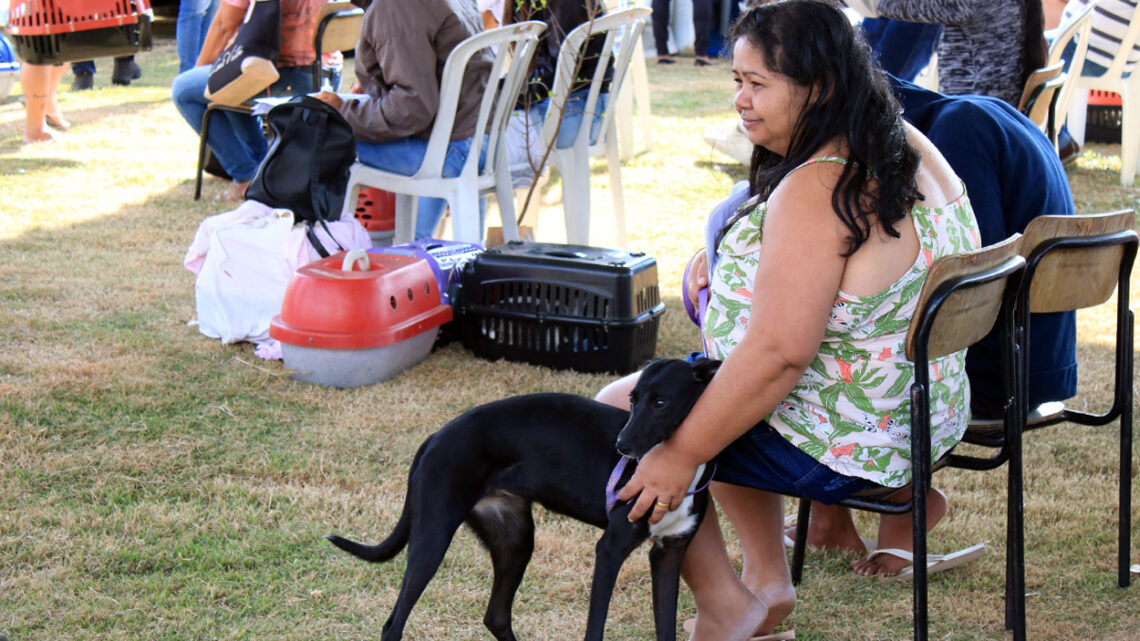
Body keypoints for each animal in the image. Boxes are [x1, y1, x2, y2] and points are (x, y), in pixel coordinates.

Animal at [330, 355, 715, 638]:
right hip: (433, 537)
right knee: (394, 624)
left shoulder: (668, 554)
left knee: (496, 617)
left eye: (661, 402)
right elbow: (595, 629)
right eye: (633, 399)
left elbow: (665, 628)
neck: (679, 467)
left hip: (514, 540)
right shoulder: (609, 550)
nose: (622, 447)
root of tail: (437, 436)